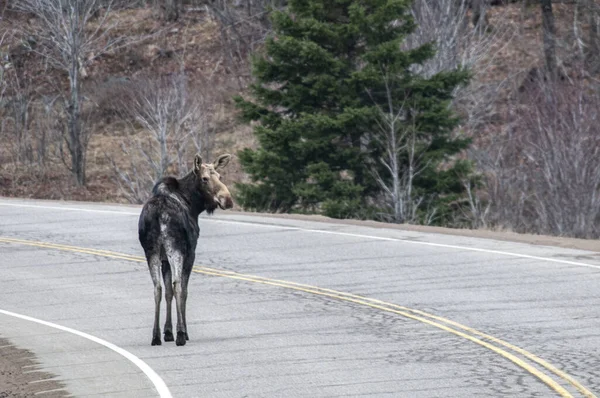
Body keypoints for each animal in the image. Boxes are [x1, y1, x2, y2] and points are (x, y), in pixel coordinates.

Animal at [139, 152, 233, 346]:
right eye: (205, 178)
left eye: (220, 176)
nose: (227, 200)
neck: (193, 205)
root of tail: (159, 214)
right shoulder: (191, 253)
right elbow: (183, 291)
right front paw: (181, 331)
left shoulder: (163, 259)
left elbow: (167, 292)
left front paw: (168, 332)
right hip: (176, 249)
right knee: (178, 285)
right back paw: (181, 335)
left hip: (151, 251)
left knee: (157, 288)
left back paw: (155, 336)